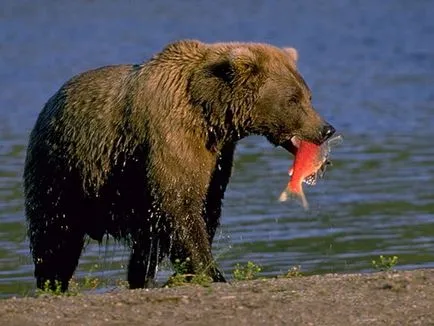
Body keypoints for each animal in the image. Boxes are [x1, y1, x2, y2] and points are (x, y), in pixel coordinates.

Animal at [23, 39, 336, 292]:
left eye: (308, 96)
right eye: (293, 99)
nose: (326, 129)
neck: (210, 113)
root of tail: (50, 102)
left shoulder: (217, 155)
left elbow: (205, 205)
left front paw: (187, 272)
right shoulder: (172, 135)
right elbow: (180, 204)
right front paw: (211, 272)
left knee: (144, 243)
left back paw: (139, 279)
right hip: (63, 171)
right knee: (55, 235)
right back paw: (53, 283)